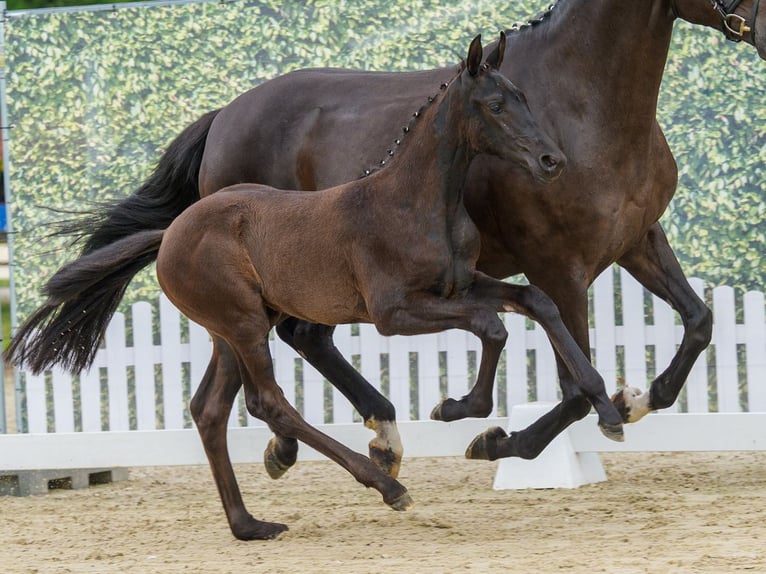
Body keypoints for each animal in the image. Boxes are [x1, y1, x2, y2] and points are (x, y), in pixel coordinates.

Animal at [7, 0, 765, 473]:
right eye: (500, 105)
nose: (761, 27)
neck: (589, 103)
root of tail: (224, 115)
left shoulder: (636, 240)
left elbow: (697, 322)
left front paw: (640, 399)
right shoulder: (559, 264)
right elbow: (575, 382)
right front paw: (500, 440)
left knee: (297, 344)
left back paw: (365, 437)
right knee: (268, 360)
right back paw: (320, 446)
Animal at [7, 34, 624, 539]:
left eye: (523, 97)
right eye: (494, 105)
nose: (552, 160)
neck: (418, 201)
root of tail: (172, 230)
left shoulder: (461, 283)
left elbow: (533, 301)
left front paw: (608, 410)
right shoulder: (393, 312)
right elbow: (491, 326)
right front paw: (458, 409)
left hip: (233, 329)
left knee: (211, 408)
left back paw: (250, 525)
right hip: (243, 324)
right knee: (268, 402)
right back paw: (384, 485)